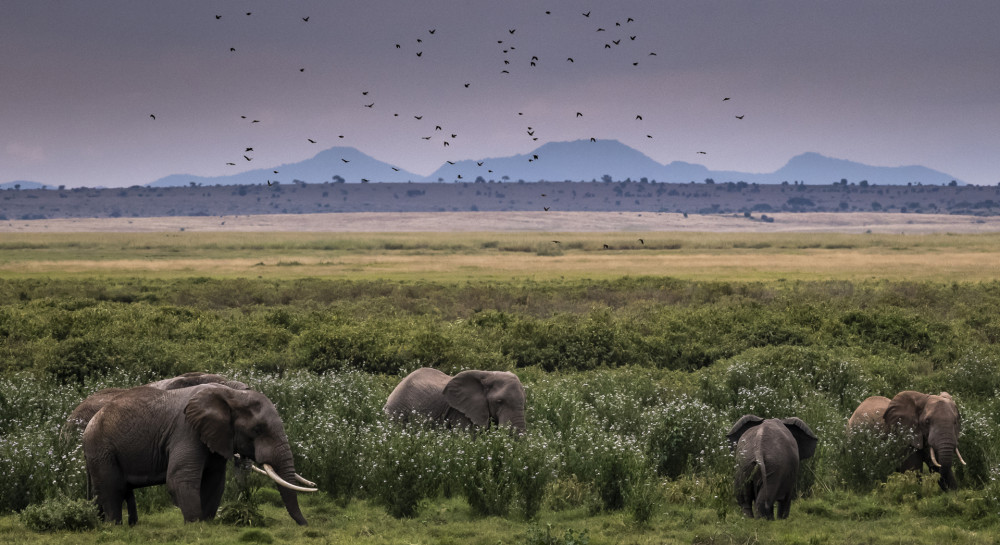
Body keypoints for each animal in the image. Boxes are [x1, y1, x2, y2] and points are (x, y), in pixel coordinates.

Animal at [83, 380, 316, 524]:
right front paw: (195, 525)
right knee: (112, 489)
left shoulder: (216, 437)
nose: (305, 525)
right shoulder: (186, 431)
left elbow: (215, 481)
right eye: (258, 430)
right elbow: (180, 478)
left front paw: (207, 522)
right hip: (101, 449)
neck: (231, 394)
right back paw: (113, 526)